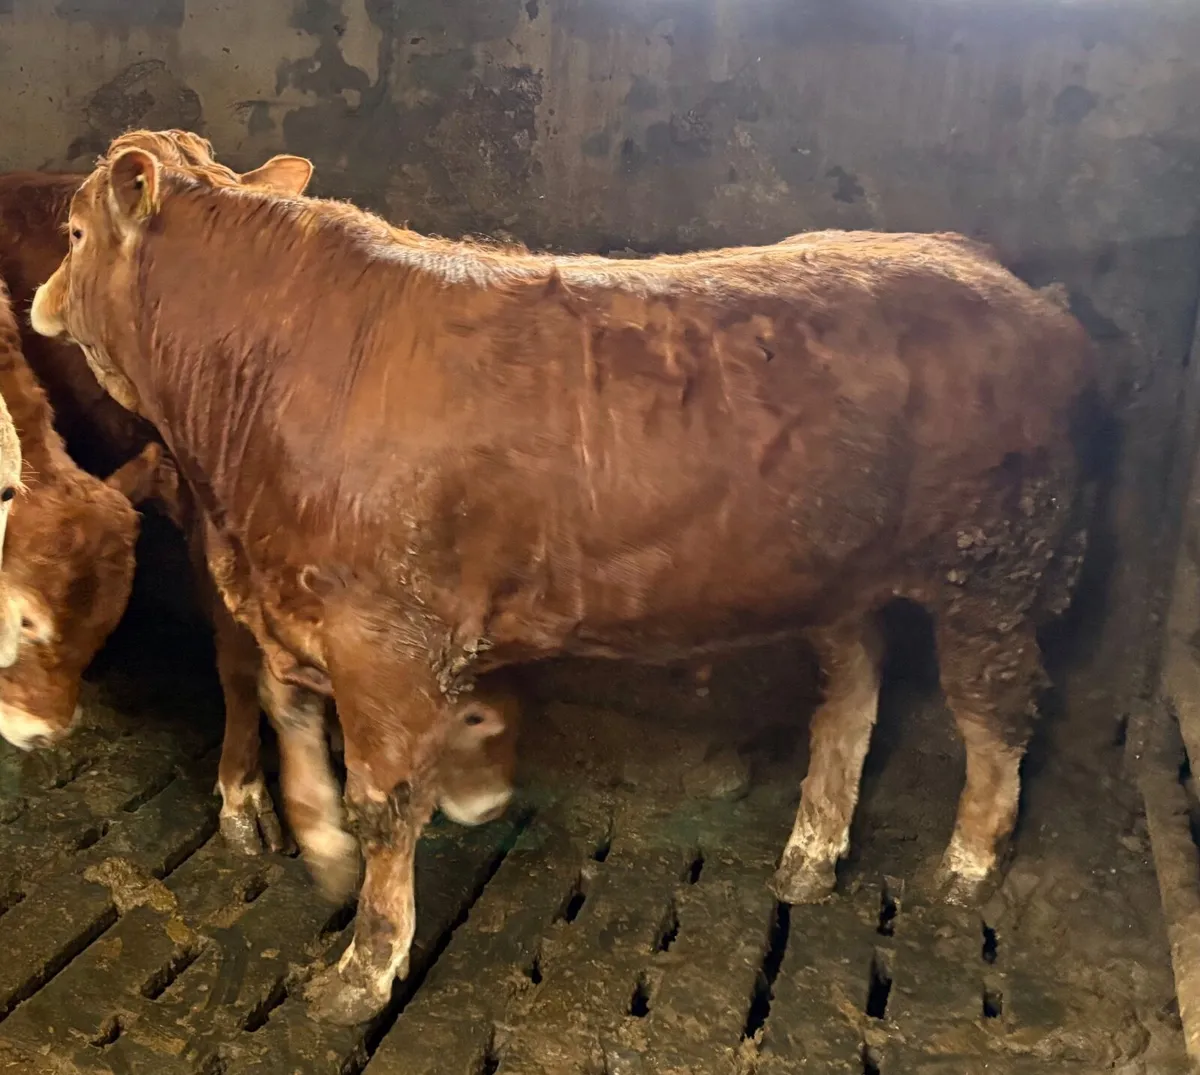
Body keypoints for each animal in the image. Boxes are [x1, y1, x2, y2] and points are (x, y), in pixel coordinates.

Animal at [31, 133, 1096, 1025]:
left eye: (74, 231)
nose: (37, 298)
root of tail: (1011, 282)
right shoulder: (291, 601)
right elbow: (291, 718)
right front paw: (323, 845)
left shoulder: (386, 636)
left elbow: (387, 799)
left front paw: (364, 968)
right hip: (841, 571)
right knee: (852, 696)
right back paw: (811, 853)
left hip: (995, 571)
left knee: (994, 714)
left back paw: (967, 867)